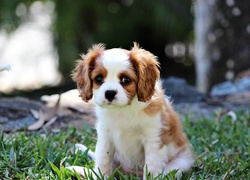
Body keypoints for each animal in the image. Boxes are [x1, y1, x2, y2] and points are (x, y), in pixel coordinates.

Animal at [71, 42, 194, 179]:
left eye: (126, 80)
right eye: (98, 79)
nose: (109, 93)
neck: (124, 109)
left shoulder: (153, 138)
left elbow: (151, 167)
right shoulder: (105, 136)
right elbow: (103, 160)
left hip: (180, 164)